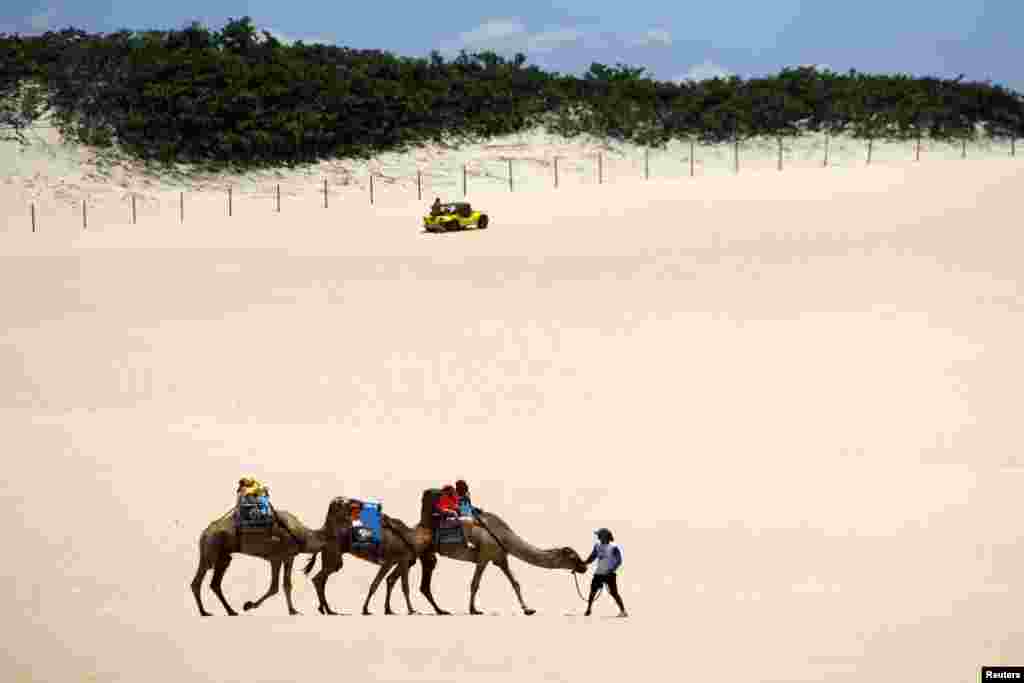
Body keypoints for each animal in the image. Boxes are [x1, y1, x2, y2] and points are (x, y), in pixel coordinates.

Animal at [190, 497, 350, 618]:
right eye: (343, 502)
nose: (354, 502)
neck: (305, 536)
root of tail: (205, 532)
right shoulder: (277, 557)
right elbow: (276, 587)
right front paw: (249, 605)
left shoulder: (287, 557)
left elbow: (284, 585)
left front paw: (292, 610)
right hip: (210, 549)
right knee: (198, 580)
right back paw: (204, 612)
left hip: (224, 556)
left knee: (215, 583)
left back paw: (231, 611)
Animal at [301, 501, 585, 618]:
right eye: (572, 556)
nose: (583, 566)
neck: (505, 535)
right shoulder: (485, 556)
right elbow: (475, 584)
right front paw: (473, 609)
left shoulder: (499, 558)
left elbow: (515, 582)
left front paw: (528, 609)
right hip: (420, 555)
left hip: (422, 556)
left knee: (407, 581)